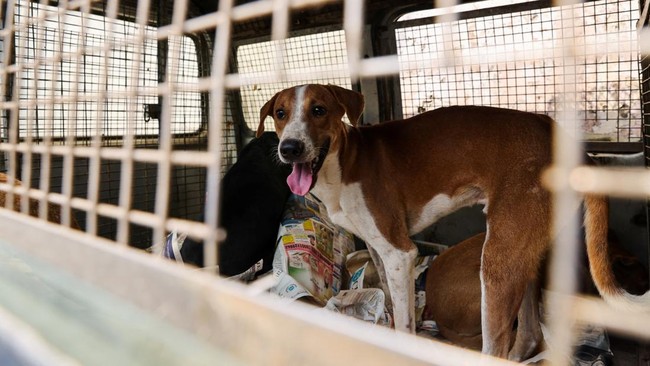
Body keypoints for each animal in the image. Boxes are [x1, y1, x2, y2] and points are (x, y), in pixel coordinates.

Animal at [256, 84, 648, 358]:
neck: (343, 161)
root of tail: (566, 140)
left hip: (497, 260)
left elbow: (406, 324)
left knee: (498, 343)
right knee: (530, 334)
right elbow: (393, 307)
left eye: (318, 110)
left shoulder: (400, 252)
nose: (289, 148)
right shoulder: (380, 253)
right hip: (523, 252)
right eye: (280, 113)